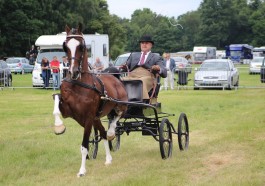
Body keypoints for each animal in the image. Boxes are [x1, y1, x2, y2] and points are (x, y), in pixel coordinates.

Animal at [52, 24, 127, 177]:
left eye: (82, 46)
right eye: (65, 46)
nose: (73, 72)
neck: (78, 84)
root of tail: (115, 77)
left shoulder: (88, 118)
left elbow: (84, 146)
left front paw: (82, 171)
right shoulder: (68, 111)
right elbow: (56, 102)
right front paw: (58, 126)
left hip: (120, 105)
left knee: (117, 117)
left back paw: (112, 132)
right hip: (96, 118)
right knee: (103, 133)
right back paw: (108, 159)